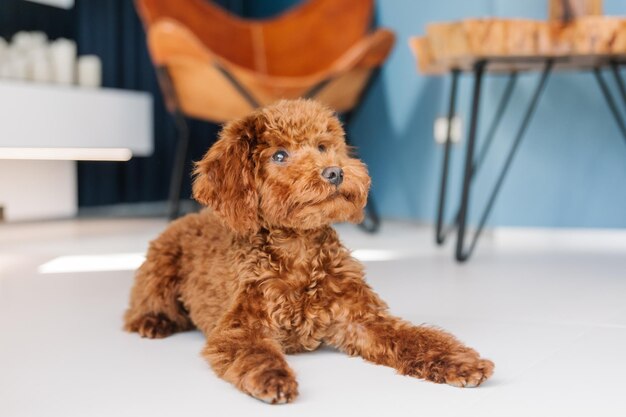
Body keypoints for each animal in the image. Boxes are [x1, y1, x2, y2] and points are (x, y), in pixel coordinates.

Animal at [123, 98, 492, 404]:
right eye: (279, 155)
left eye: (323, 146)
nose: (335, 172)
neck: (298, 251)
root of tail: (187, 218)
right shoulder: (239, 328)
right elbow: (255, 354)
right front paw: (273, 378)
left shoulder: (361, 319)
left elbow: (416, 337)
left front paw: (457, 361)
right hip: (160, 267)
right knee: (141, 306)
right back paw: (152, 321)